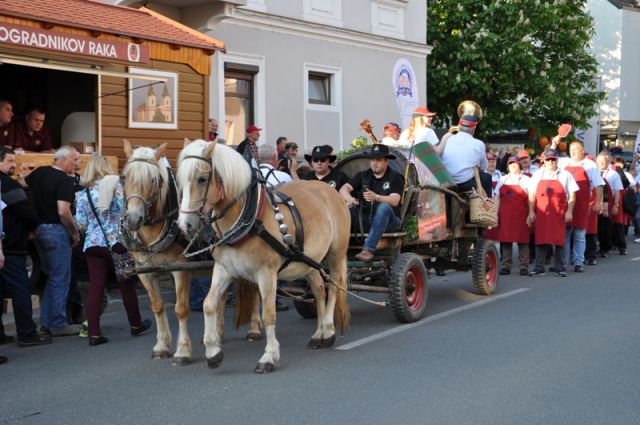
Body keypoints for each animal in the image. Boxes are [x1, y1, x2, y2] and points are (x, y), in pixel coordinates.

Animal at [178, 138, 352, 372]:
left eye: (202, 178)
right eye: (179, 180)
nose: (185, 225)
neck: (247, 217)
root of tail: (331, 190)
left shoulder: (267, 274)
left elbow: (268, 315)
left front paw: (269, 356)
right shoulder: (224, 270)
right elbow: (208, 304)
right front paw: (213, 351)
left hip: (335, 255)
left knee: (333, 288)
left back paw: (330, 331)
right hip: (308, 260)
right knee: (318, 290)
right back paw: (319, 333)